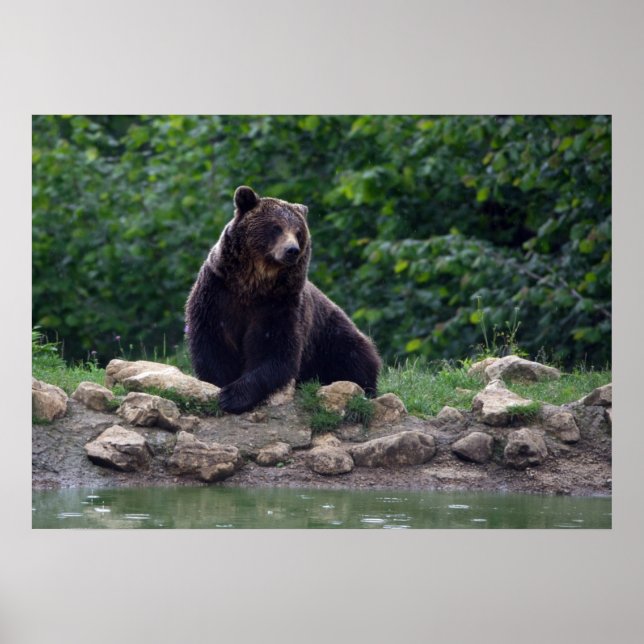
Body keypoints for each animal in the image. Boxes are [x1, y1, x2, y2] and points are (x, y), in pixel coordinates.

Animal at [185, 185, 381, 414]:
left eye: (298, 232)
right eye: (276, 227)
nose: (292, 250)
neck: (252, 284)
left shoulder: (279, 304)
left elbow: (276, 350)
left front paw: (233, 396)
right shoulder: (217, 294)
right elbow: (213, 343)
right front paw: (220, 386)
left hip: (332, 337)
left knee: (356, 358)